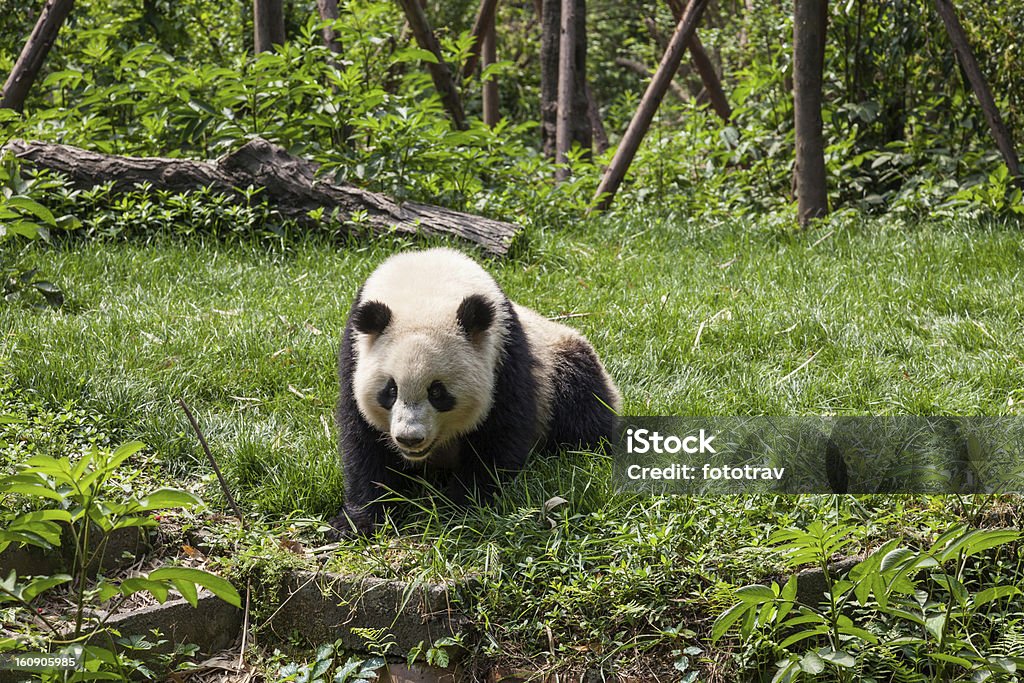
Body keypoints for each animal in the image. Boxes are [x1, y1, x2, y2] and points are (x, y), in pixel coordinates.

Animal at [331, 248, 618, 536]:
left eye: (438, 393)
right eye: (390, 390)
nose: (410, 438)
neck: (426, 288)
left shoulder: (504, 355)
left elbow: (499, 434)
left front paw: (460, 507)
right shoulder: (353, 355)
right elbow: (365, 444)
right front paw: (358, 522)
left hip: (560, 366)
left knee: (583, 411)